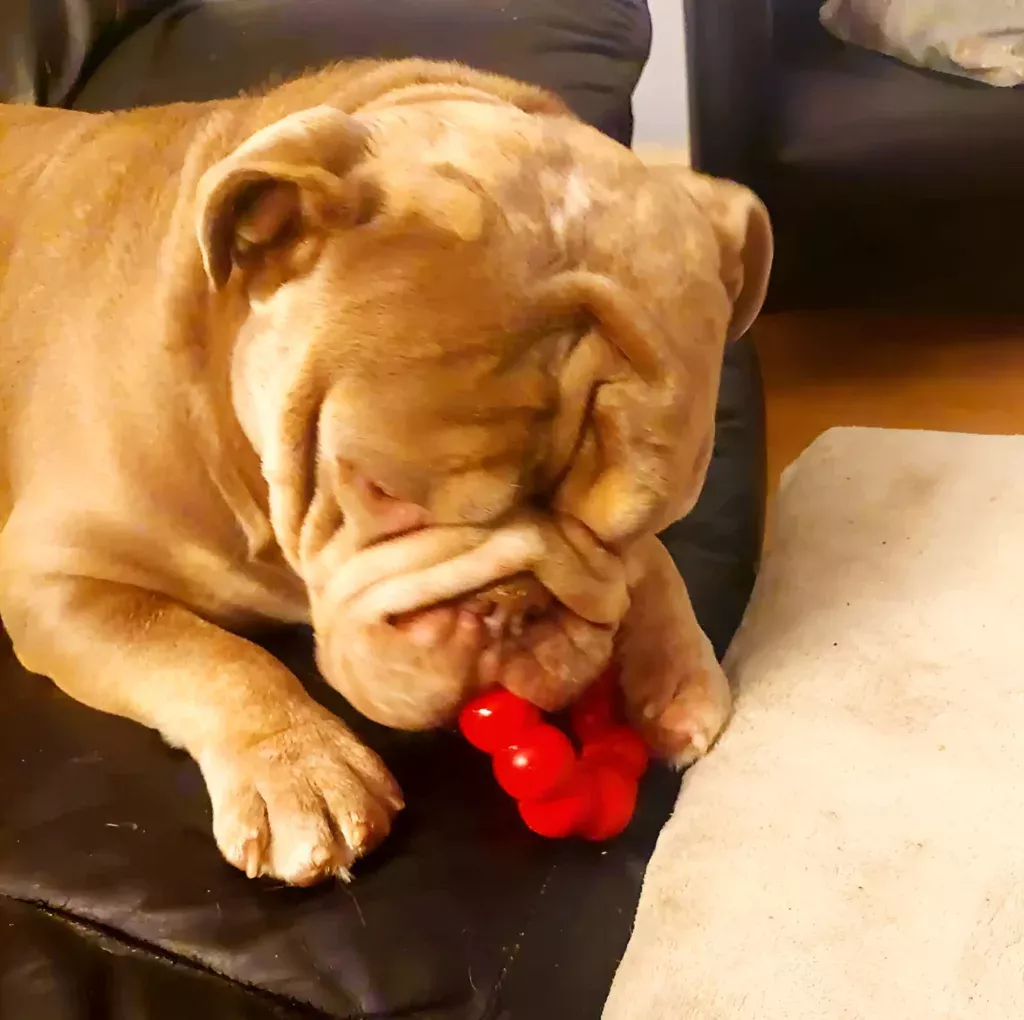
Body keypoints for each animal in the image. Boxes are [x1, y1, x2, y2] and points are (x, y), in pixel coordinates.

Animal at [0, 57, 770, 884]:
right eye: (380, 489)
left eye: (641, 522)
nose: (512, 606)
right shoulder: (55, 578)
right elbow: (203, 652)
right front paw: (299, 770)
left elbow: (653, 570)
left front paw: (674, 669)